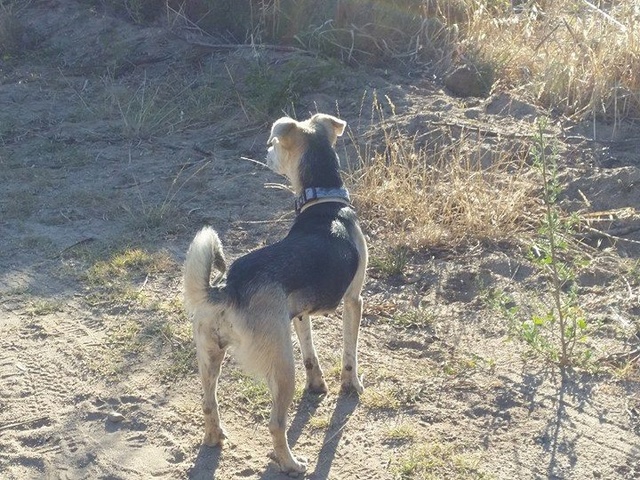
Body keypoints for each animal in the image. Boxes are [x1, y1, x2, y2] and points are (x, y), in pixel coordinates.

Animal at [182, 113, 368, 472]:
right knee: (276, 424)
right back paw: (291, 464)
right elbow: (349, 356)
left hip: (210, 356)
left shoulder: (299, 314)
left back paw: (214, 438)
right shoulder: (355, 301)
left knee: (208, 403)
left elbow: (311, 354)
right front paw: (351, 387)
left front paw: (318, 385)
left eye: (274, 146)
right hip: (282, 369)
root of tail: (228, 289)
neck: (324, 202)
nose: (265, 151)